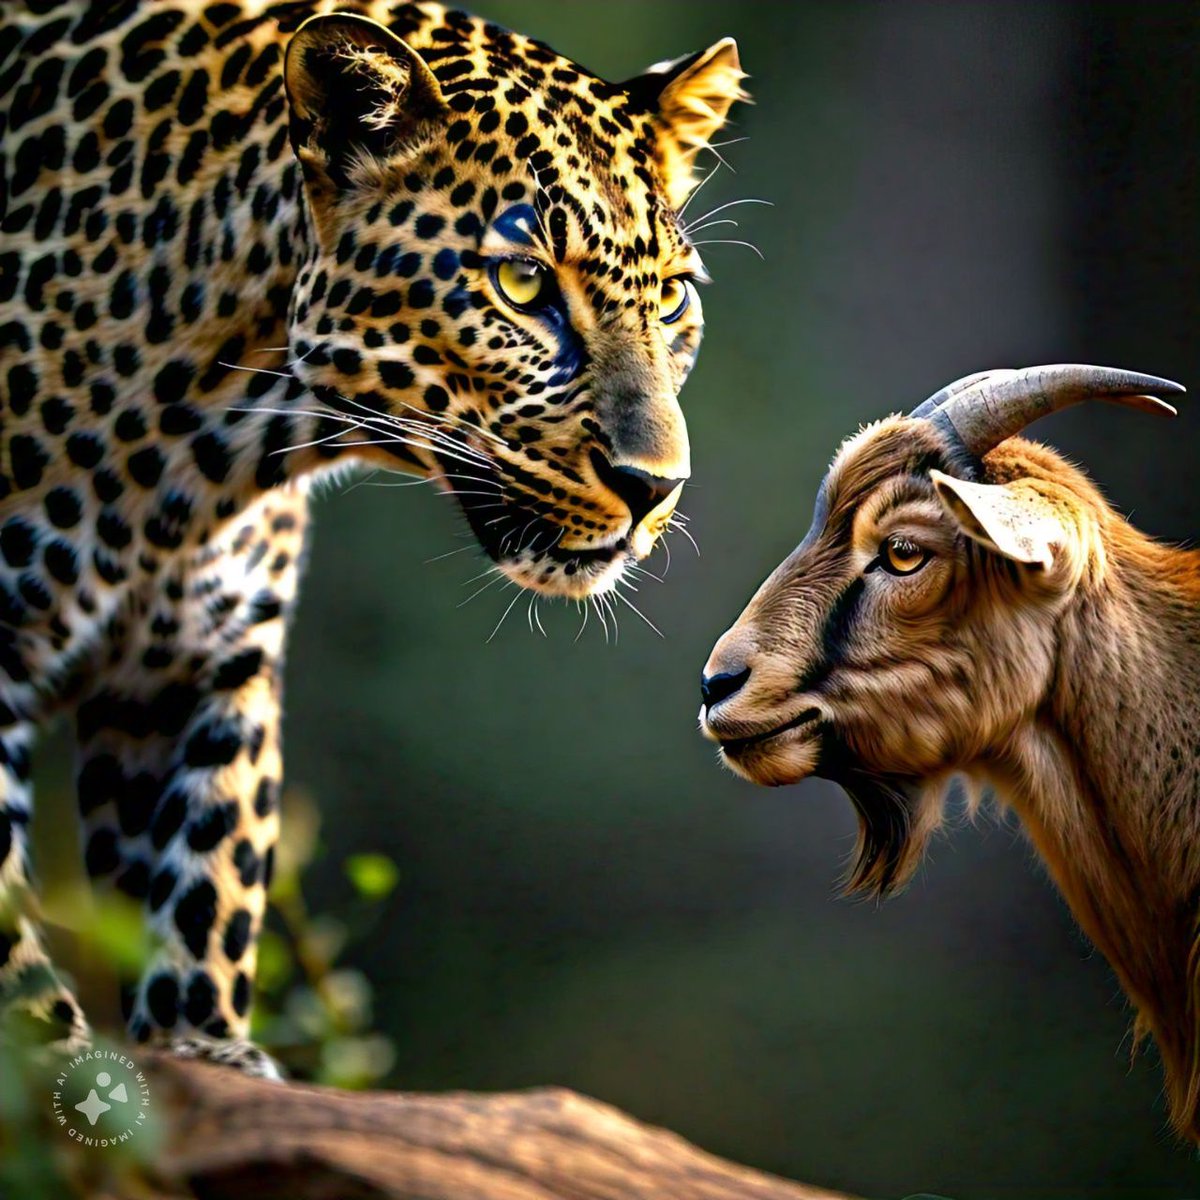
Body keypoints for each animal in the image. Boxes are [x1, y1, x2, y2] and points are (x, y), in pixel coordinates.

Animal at [0, 0, 747, 1072]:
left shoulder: (201, 666)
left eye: (674, 297)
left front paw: (207, 1053)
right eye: (524, 284)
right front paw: (69, 1062)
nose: (656, 487)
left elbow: (206, 878)